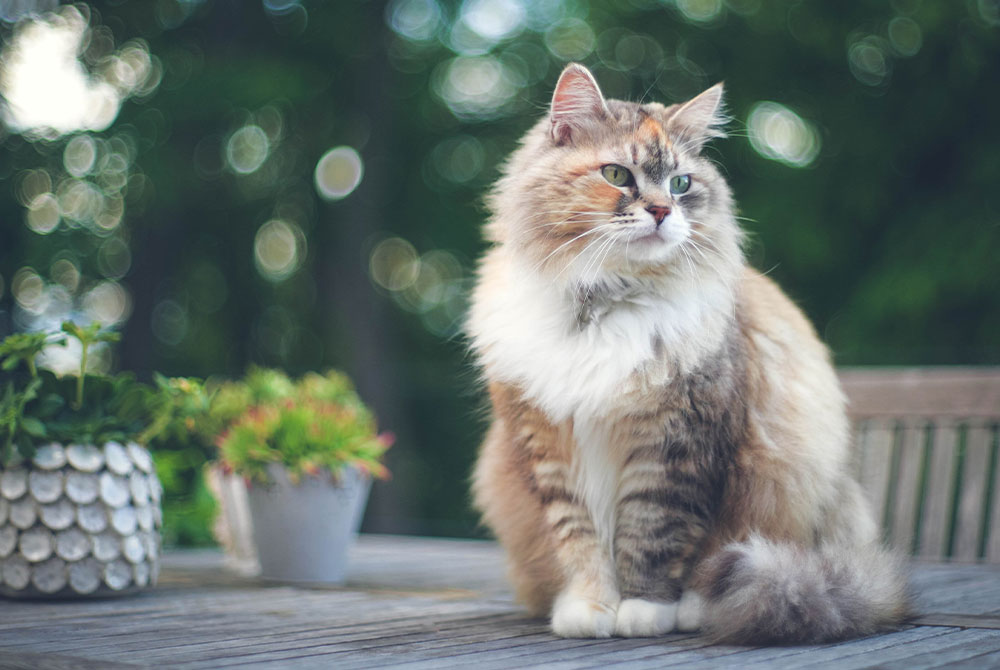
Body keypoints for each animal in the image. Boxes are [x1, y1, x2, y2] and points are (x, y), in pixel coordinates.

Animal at [464, 64, 912, 644]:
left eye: (681, 184)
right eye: (617, 174)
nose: (660, 211)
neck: (604, 303)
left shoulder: (677, 445)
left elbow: (652, 537)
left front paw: (643, 612)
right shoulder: (552, 450)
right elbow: (582, 543)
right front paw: (590, 608)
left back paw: (699, 608)